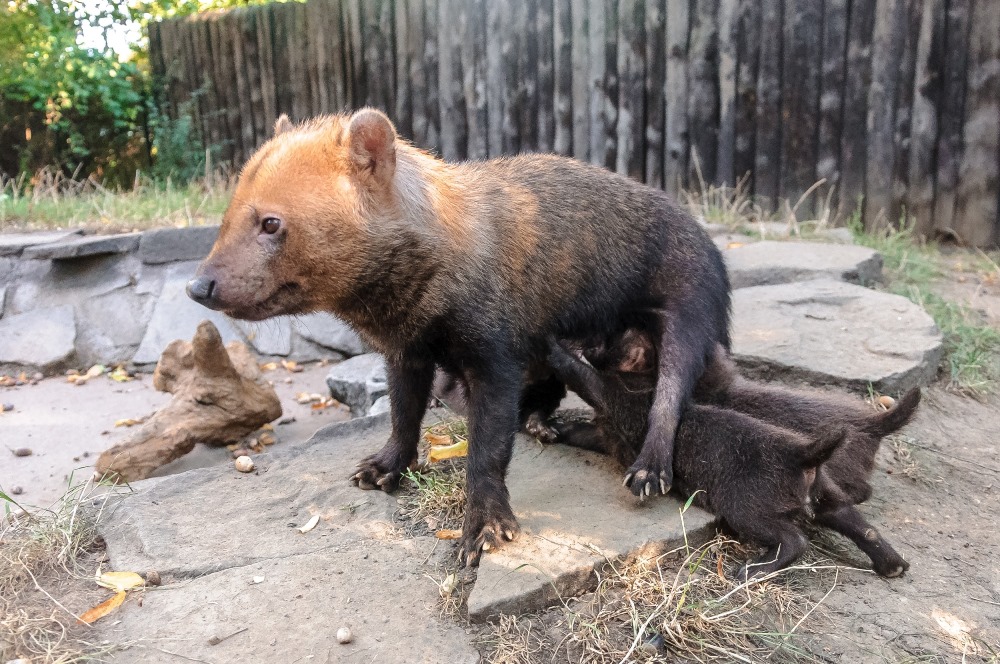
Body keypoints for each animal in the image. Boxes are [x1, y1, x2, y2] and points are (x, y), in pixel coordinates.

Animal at [188, 109, 732, 564]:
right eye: (226, 215)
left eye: (271, 222)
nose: (198, 286)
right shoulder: (406, 354)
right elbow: (404, 415)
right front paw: (383, 468)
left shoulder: (494, 357)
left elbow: (486, 448)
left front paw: (485, 529)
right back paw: (541, 423)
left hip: (688, 316)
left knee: (668, 396)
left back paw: (648, 469)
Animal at [552, 330, 916, 580]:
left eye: (613, 339)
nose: (588, 341)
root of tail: (801, 453)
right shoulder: (607, 434)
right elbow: (581, 431)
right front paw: (550, 428)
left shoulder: (616, 400)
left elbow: (583, 377)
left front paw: (556, 349)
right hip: (829, 501)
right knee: (866, 529)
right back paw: (892, 564)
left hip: (745, 509)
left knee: (795, 540)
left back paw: (754, 569)